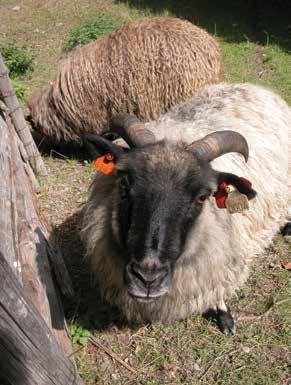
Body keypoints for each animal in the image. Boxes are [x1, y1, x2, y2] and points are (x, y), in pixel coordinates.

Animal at [81, 83, 290, 332]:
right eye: (123, 184)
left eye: (202, 197)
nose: (147, 279)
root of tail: (253, 86)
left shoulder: (220, 263)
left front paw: (224, 317)